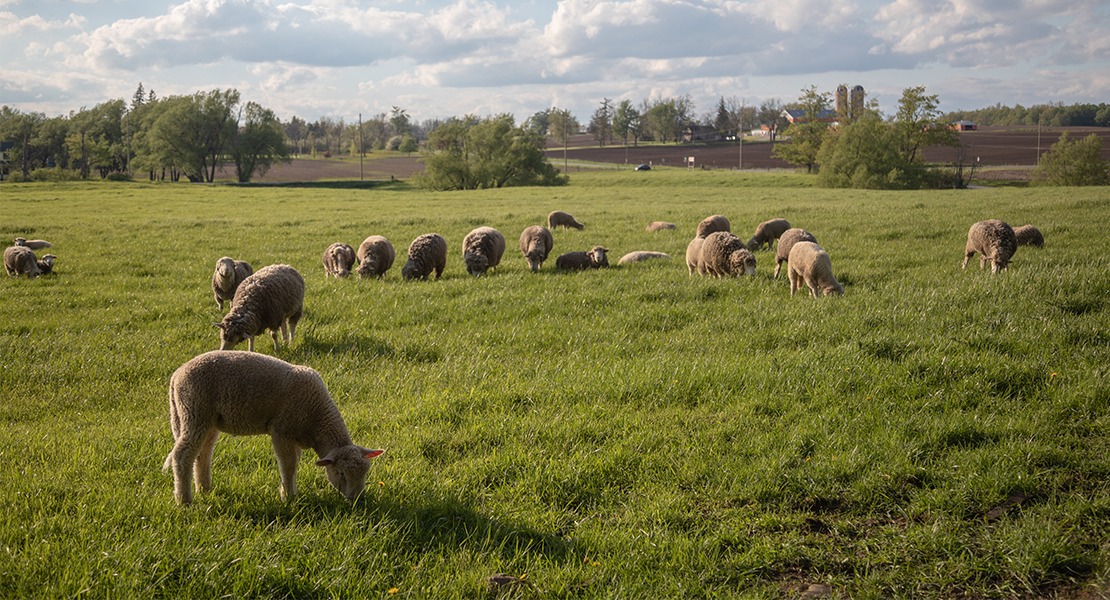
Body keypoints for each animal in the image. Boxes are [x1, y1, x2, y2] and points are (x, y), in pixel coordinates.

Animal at [160, 350, 386, 505]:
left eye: (365, 472)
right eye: (341, 474)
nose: (357, 500)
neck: (317, 418)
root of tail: (176, 375)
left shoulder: (295, 436)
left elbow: (295, 463)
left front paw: (291, 492)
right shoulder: (281, 430)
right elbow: (288, 464)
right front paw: (289, 498)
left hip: (199, 419)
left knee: (202, 455)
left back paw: (204, 490)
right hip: (195, 412)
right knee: (182, 456)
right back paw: (184, 501)